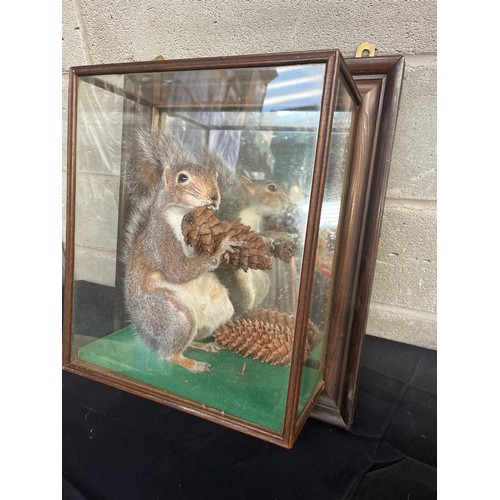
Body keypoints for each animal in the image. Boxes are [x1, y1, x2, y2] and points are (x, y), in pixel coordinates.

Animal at [122, 133, 241, 372]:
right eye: (182, 178)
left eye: (215, 176)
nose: (214, 197)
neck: (185, 215)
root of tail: (146, 330)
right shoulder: (160, 239)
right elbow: (177, 270)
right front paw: (221, 247)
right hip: (172, 315)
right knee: (168, 354)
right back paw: (191, 363)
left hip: (219, 309)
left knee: (191, 338)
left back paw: (201, 345)